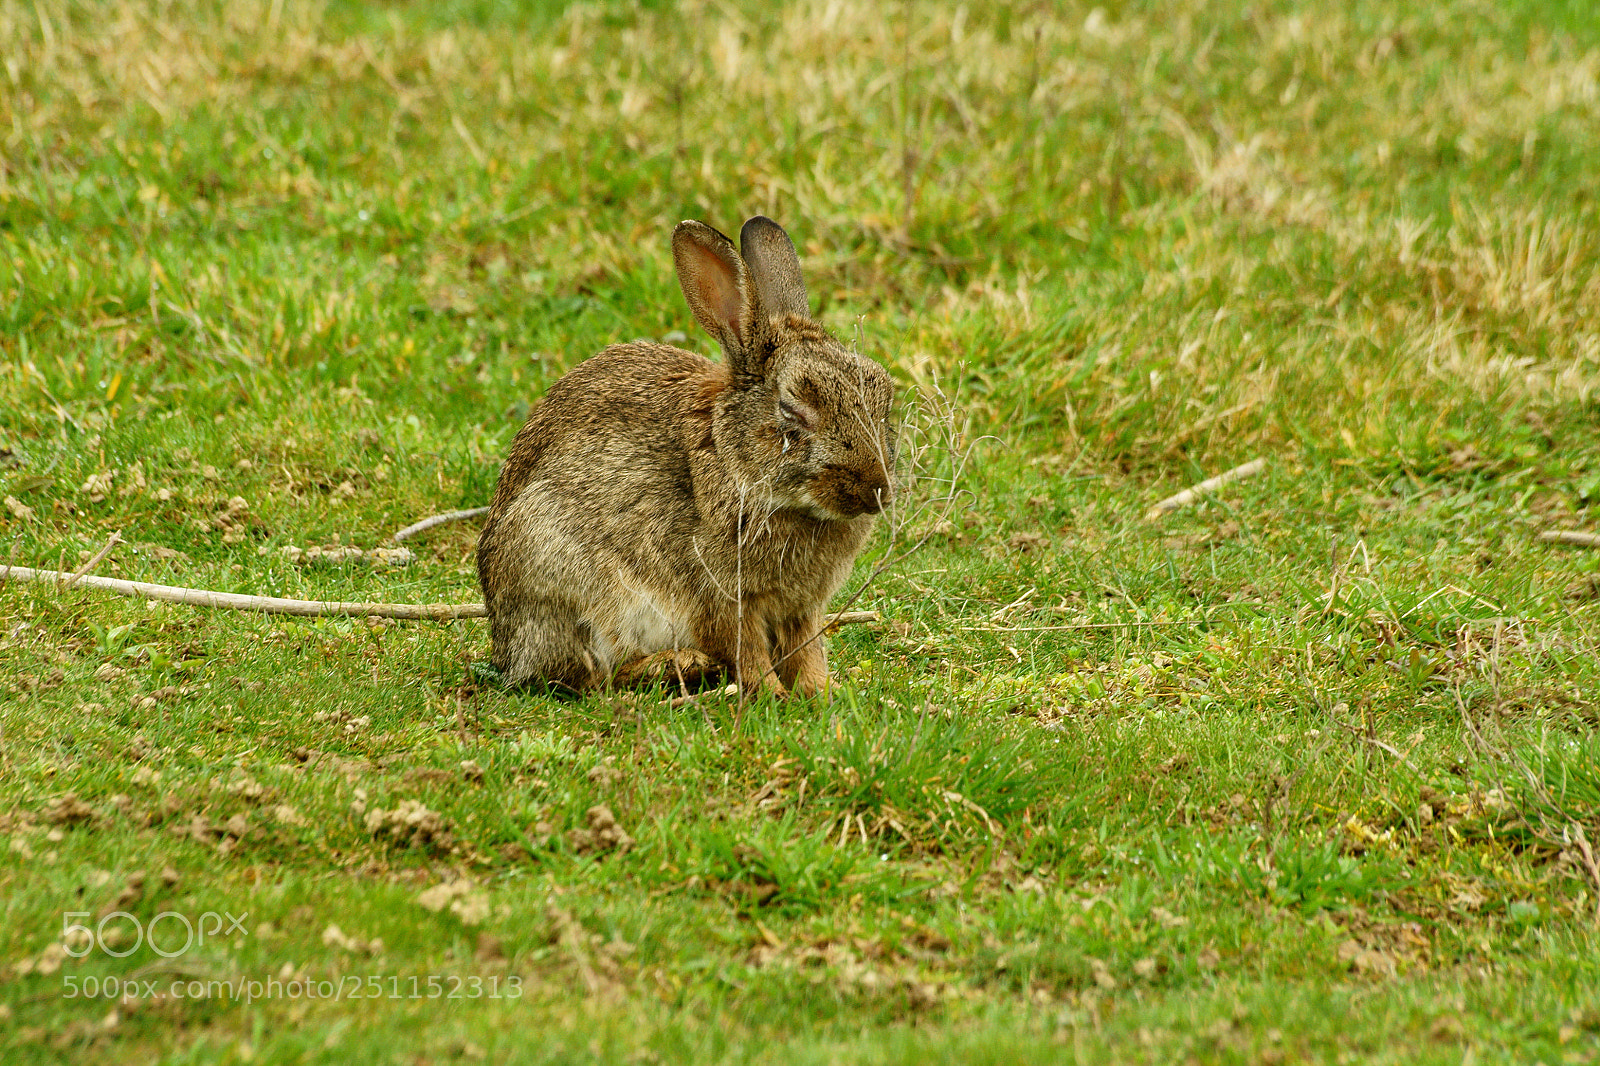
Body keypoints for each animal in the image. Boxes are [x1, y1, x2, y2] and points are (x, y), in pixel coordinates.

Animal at [473, 216, 902, 697]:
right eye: (792, 412)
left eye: (883, 398)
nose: (877, 490)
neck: (737, 465)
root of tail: (505, 649)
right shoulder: (721, 599)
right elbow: (747, 651)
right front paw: (773, 695)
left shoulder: (801, 609)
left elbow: (806, 650)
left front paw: (822, 693)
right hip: (562, 573)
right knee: (588, 678)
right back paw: (679, 665)